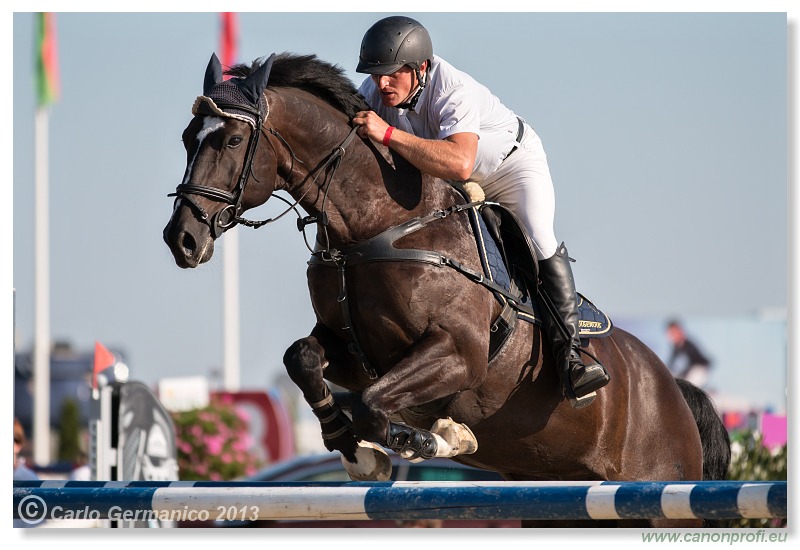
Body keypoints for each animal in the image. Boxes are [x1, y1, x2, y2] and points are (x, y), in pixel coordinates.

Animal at [162, 52, 732, 532]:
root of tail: (671, 389)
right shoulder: (354, 351)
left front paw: (431, 437)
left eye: (231, 142)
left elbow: (373, 403)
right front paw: (355, 450)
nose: (181, 239)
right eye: (189, 137)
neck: (374, 227)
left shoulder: (459, 353)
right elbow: (302, 359)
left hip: (654, 496)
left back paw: (579, 370)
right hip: (560, 507)